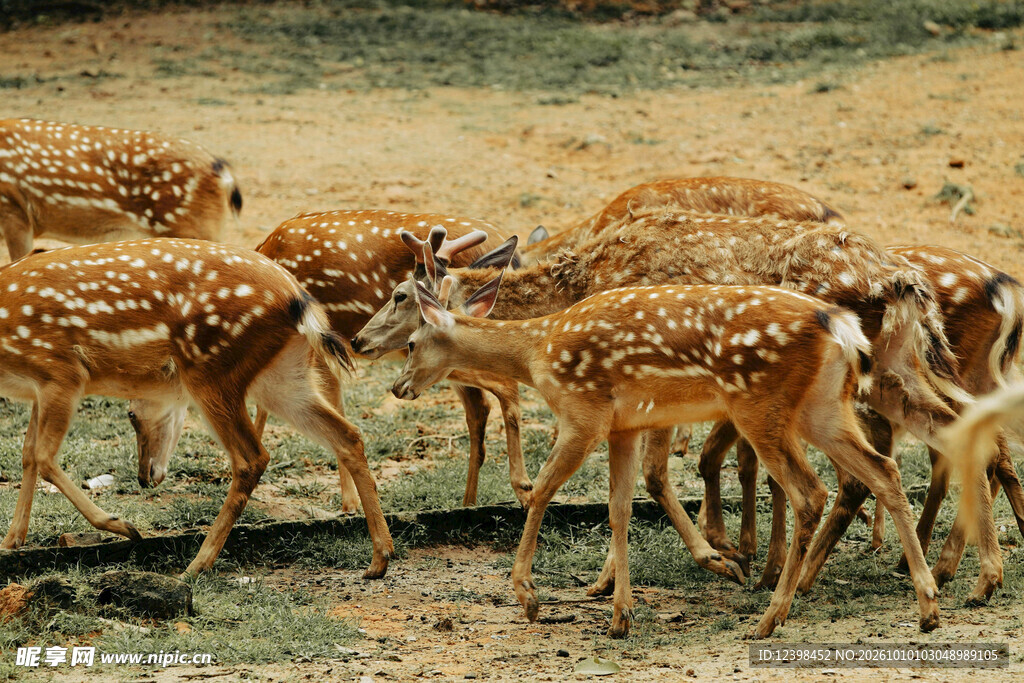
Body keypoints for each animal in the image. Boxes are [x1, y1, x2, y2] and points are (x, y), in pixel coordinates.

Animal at [0, 239, 393, 578]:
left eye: (130, 415)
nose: (143, 479)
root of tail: (300, 300)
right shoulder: (38, 389)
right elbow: (28, 454)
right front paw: (11, 540)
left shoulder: (61, 371)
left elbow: (44, 458)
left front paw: (124, 526)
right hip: (283, 377)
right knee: (347, 435)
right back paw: (379, 558)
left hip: (211, 370)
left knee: (252, 458)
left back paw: (196, 564)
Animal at [133, 210, 534, 510]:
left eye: (131, 415)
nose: (145, 477)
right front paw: (352, 500)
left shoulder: (317, 346)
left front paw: (348, 502)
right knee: (480, 406)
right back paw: (470, 500)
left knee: (505, 387)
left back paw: (521, 489)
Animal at [394, 264, 949, 639]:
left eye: (411, 343)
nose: (399, 386)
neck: (538, 354)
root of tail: (841, 326)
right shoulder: (623, 425)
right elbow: (618, 508)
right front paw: (620, 614)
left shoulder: (583, 411)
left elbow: (540, 492)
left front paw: (528, 596)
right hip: (822, 407)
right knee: (883, 470)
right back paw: (927, 606)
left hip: (760, 404)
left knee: (810, 491)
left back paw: (770, 616)